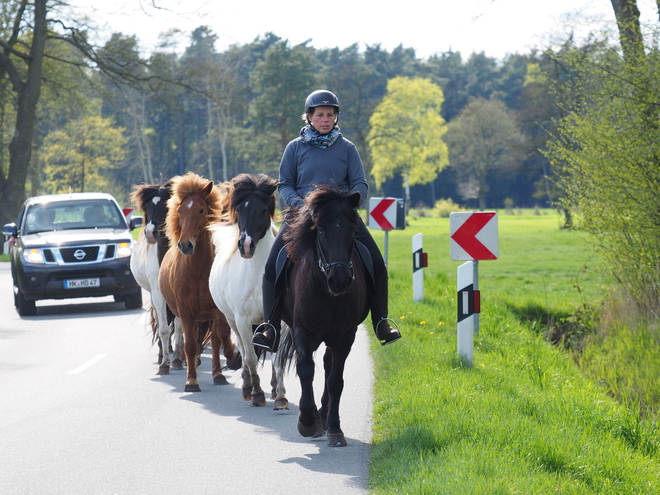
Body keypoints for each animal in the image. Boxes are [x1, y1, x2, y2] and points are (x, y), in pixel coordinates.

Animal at [130, 184, 183, 374]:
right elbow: (164, 329)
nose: (150, 233)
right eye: (147, 207)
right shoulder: (158, 294)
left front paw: (178, 359)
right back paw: (162, 354)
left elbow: (180, 327)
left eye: (166, 206)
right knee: (161, 322)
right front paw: (165, 363)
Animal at [157, 172, 240, 394]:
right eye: (180, 210)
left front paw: (232, 360)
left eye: (201, 210)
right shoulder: (186, 313)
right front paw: (191, 381)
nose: (186, 245)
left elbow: (221, 337)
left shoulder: (217, 312)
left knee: (216, 340)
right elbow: (190, 346)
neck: (196, 273)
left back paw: (218, 374)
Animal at [208, 176, 288, 408]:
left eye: (263, 210)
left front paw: (281, 396)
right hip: (232, 320)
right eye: (239, 210)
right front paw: (256, 395)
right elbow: (250, 357)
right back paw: (247, 388)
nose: (246, 246)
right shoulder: (242, 321)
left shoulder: (279, 320)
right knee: (244, 352)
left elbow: (277, 357)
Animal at [278, 184, 372, 448]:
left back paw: (324, 415)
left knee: (329, 366)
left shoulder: (346, 336)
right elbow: (305, 370)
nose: (339, 280)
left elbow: (335, 380)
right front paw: (307, 422)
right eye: (320, 229)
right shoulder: (302, 331)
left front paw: (335, 429)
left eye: (352, 231)